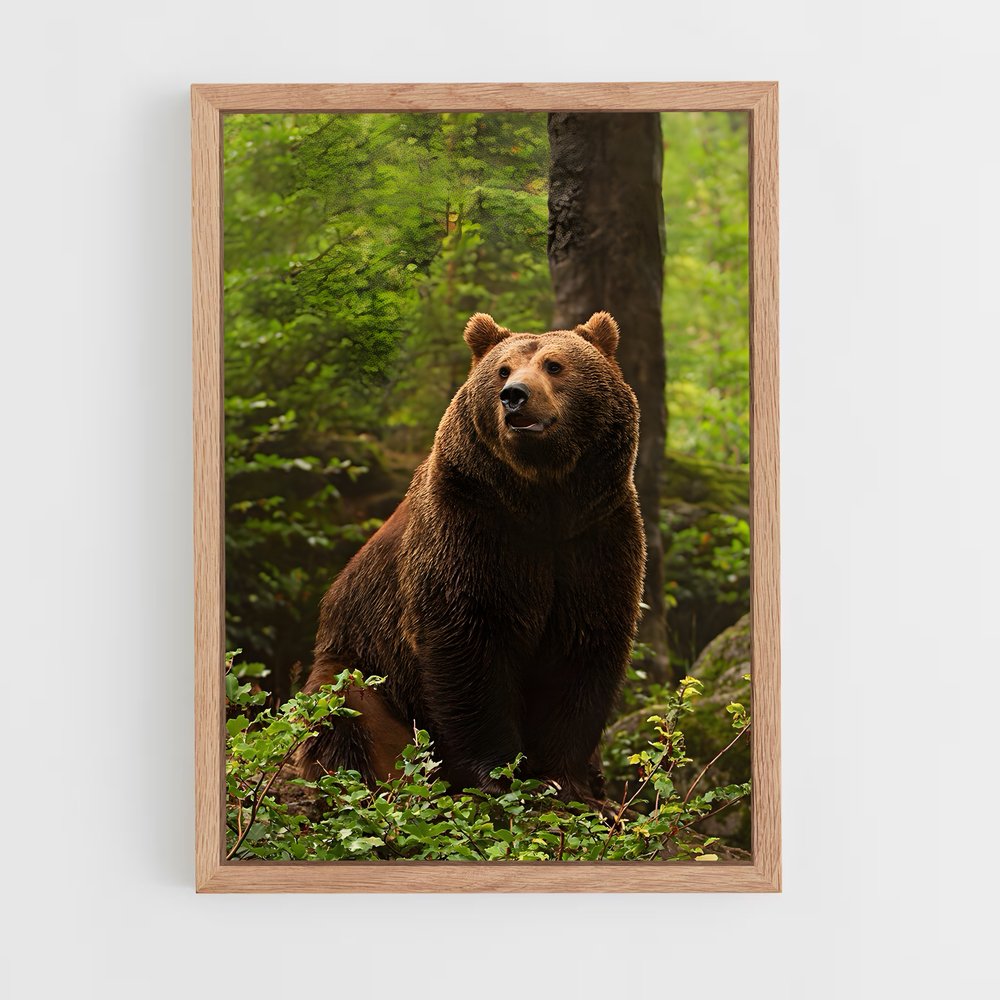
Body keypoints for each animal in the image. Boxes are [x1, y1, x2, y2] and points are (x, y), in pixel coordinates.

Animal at [297, 310, 645, 805]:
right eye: (502, 369)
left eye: (554, 365)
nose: (514, 396)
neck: (544, 499)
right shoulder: (471, 525)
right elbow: (467, 640)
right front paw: (498, 773)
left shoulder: (596, 534)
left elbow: (584, 646)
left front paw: (568, 779)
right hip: (364, 665)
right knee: (347, 711)